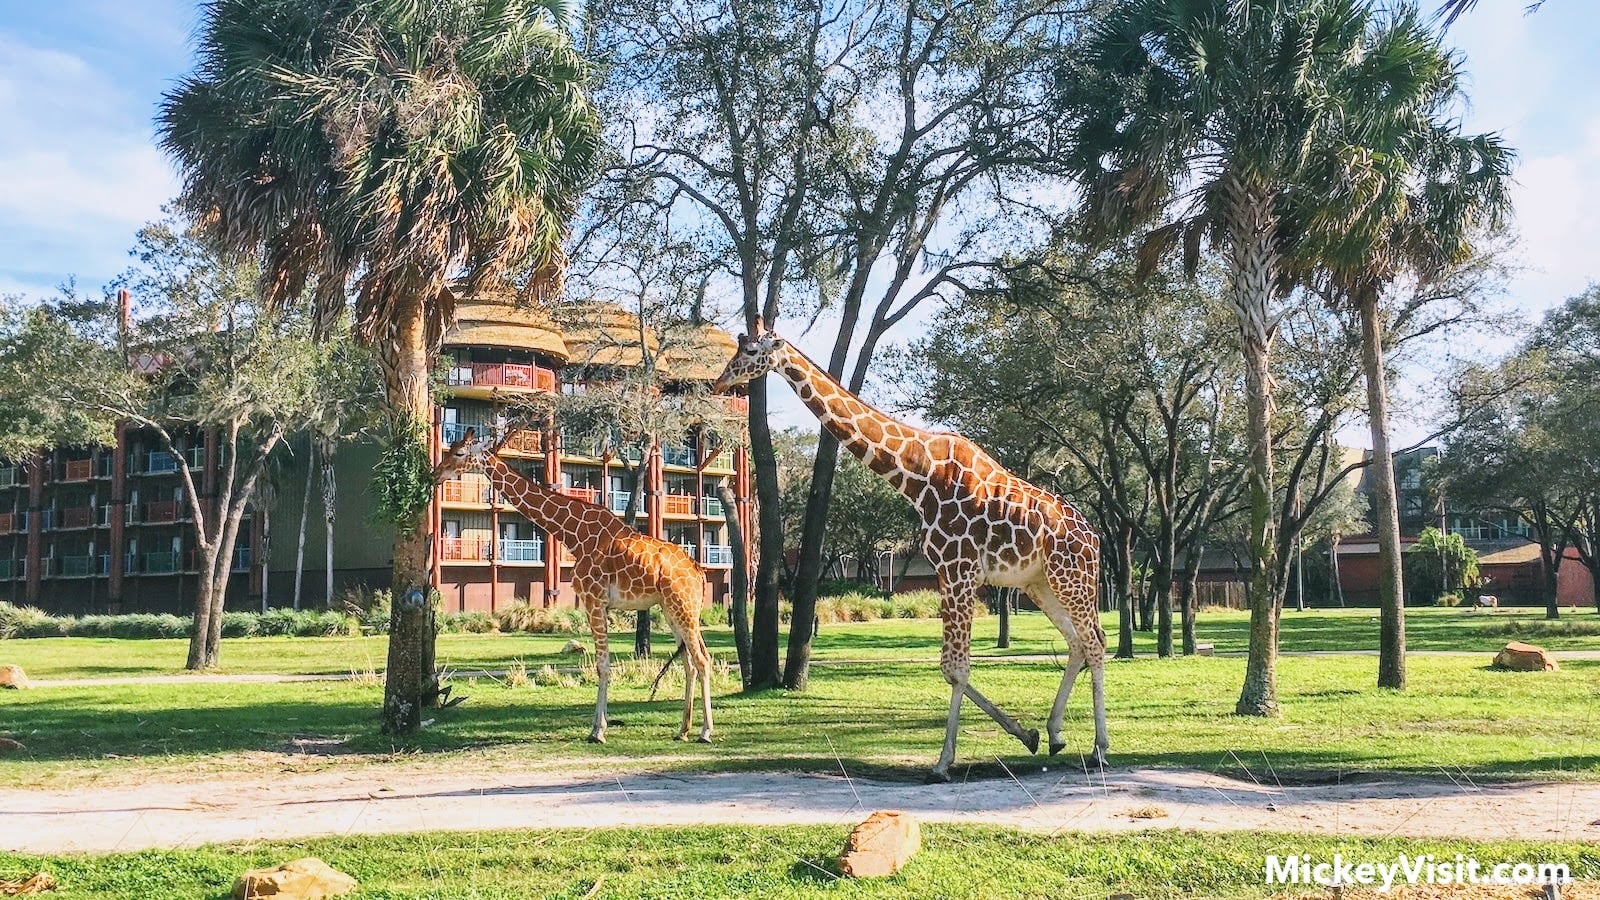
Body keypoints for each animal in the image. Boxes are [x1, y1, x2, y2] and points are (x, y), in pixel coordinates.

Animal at [433, 429, 716, 744]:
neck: (573, 534)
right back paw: (683, 729)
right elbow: (603, 663)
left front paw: (598, 731)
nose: (436, 474)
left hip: (684, 607)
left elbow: (602, 665)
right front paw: (598, 727)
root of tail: (699, 573)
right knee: (689, 661)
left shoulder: (594, 601)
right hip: (670, 609)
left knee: (702, 659)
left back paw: (705, 731)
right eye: (451, 448)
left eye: (459, 453)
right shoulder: (600, 604)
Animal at [714, 324, 1107, 782]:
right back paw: (1057, 733)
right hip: (1040, 585)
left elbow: (955, 668)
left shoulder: (958, 569)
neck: (920, 475)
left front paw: (942, 763)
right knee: (1078, 643)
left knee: (1095, 644)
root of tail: (1096, 539)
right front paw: (1026, 735)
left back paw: (1100, 748)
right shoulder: (950, 572)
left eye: (750, 351)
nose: (721, 381)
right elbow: (952, 666)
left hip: (1072, 579)